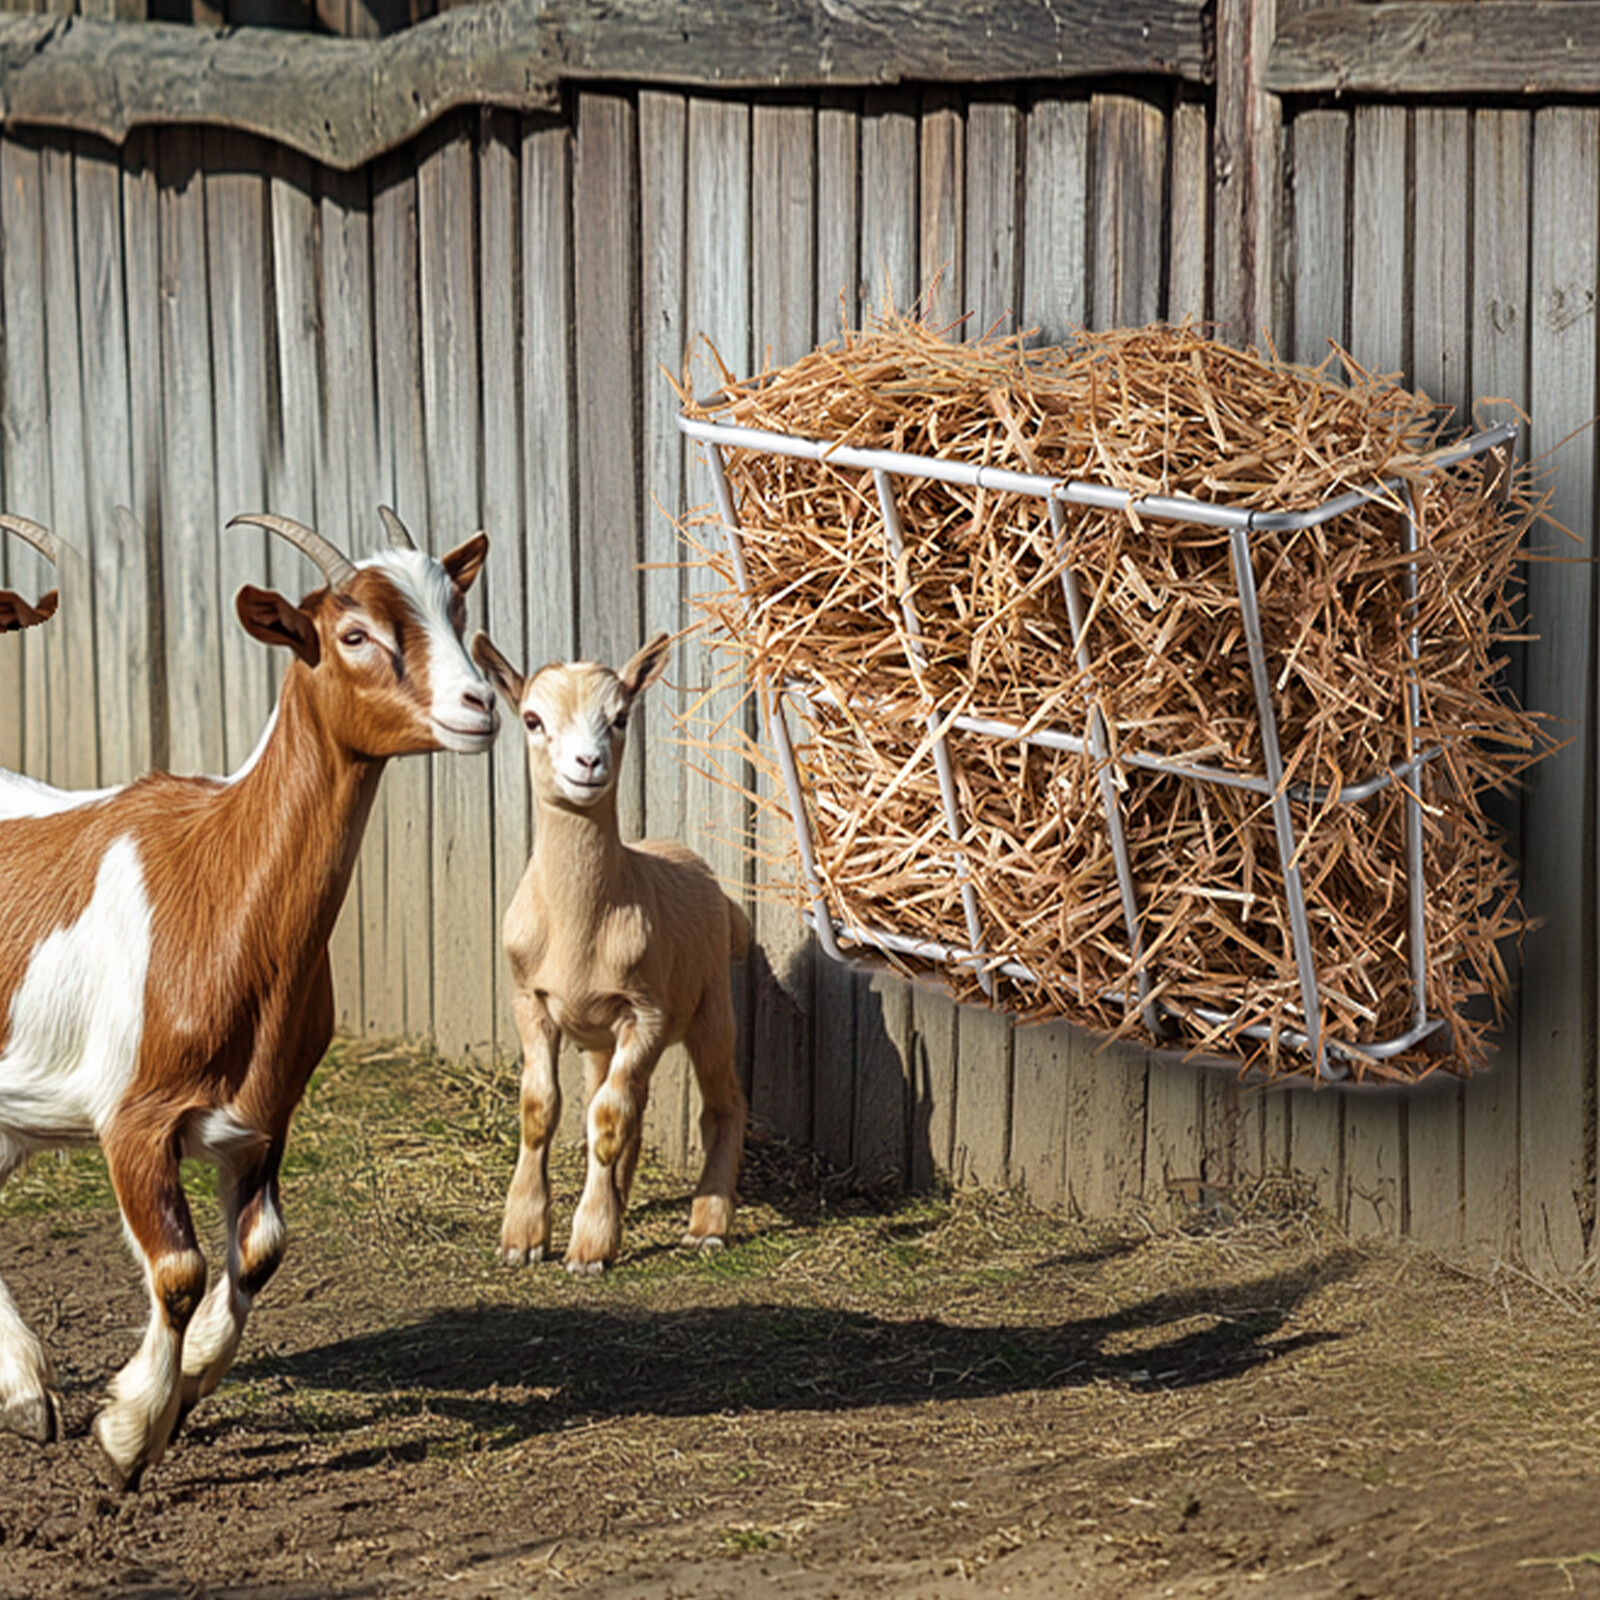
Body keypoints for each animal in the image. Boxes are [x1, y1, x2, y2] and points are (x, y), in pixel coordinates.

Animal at [0, 509, 496, 1490]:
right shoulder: (132, 1117)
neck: (219, 881)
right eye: (355, 634)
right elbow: (181, 1271)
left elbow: (261, 1253)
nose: (480, 706)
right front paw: (126, 1441)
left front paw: (187, 1384)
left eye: (457, 610)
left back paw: (27, 1395)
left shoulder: (267, 1116)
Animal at [470, 631, 750, 1274]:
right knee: (631, 1106)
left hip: (711, 1006)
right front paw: (523, 1237)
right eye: (532, 719)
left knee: (721, 1104)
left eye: (620, 718)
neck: (581, 922)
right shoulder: (530, 1000)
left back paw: (706, 1225)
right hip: (601, 1038)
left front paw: (590, 1246)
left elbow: (605, 1119)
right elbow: (542, 1109)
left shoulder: (644, 1012)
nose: (588, 763)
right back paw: (623, 1198)